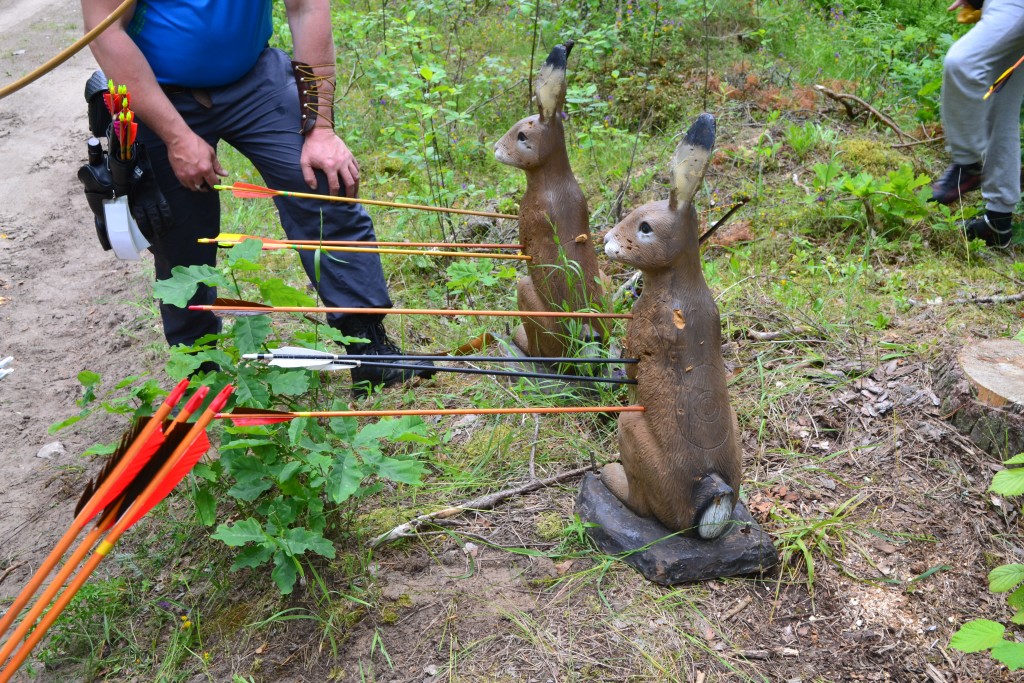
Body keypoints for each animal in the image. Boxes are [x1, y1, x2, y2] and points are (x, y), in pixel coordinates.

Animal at [598, 113, 745, 540]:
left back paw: (608, 476)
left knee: (643, 506)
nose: (607, 239)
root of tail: (711, 499)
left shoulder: (643, 334)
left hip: (631, 427)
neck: (677, 288)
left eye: (645, 227)